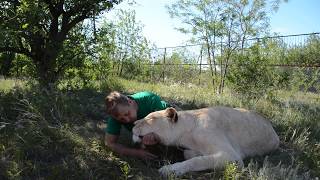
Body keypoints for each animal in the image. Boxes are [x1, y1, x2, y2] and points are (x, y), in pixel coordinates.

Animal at [131, 107, 278, 176]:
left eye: (150, 119)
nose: (134, 123)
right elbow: (190, 154)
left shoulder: (233, 157)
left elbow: (198, 160)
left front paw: (170, 169)